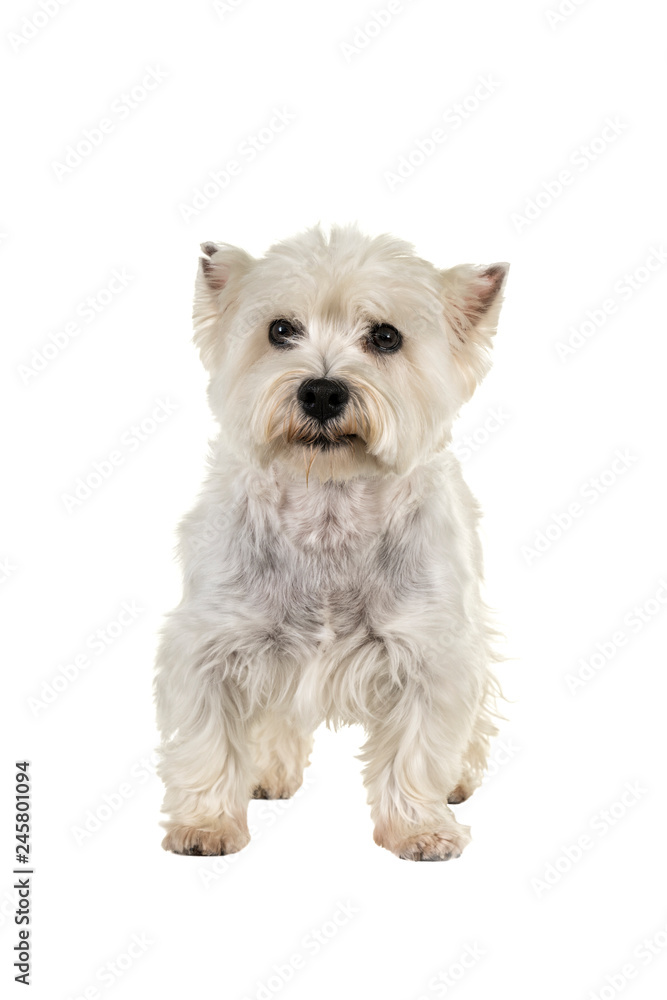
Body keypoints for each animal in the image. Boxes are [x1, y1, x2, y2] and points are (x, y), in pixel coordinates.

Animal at [157, 225, 508, 860]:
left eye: (386, 337)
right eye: (280, 330)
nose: (321, 393)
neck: (327, 506)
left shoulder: (432, 648)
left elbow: (418, 749)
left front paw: (420, 829)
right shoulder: (211, 641)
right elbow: (207, 739)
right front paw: (206, 825)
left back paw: (459, 779)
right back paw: (266, 773)